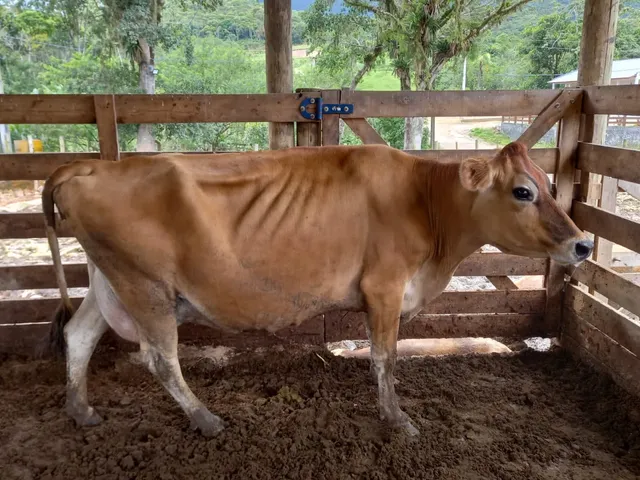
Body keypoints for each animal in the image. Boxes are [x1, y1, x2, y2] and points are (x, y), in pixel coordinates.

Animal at [41, 141, 593, 437]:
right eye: (523, 190)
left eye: (549, 183)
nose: (584, 244)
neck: (424, 202)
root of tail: (91, 165)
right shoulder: (385, 288)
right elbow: (385, 358)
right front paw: (397, 420)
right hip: (147, 287)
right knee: (159, 358)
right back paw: (206, 419)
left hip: (109, 281)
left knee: (79, 335)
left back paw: (81, 410)